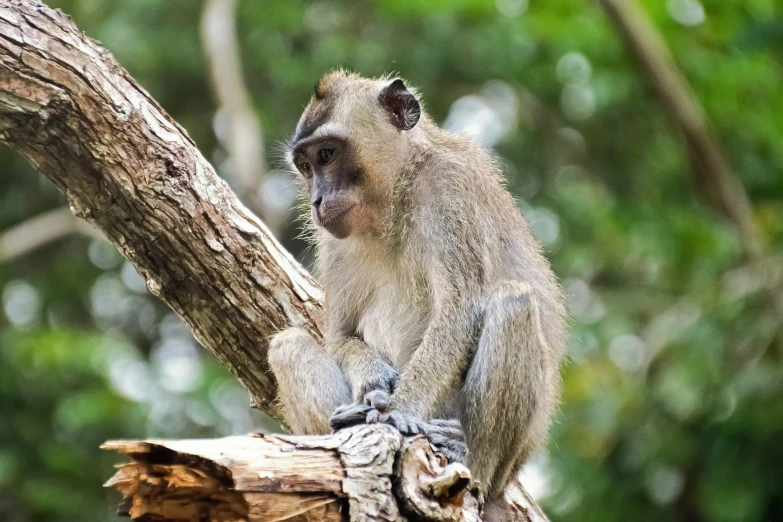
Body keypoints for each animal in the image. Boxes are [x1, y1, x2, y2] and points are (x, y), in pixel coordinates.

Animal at [266, 72, 568, 516]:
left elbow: (459, 310)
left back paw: (468, 459)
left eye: (326, 155)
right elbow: (340, 334)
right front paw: (373, 383)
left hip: (502, 454)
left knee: (511, 302)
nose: (317, 199)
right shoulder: (333, 241)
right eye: (305, 166)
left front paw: (398, 412)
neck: (394, 196)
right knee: (287, 345)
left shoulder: (448, 189)